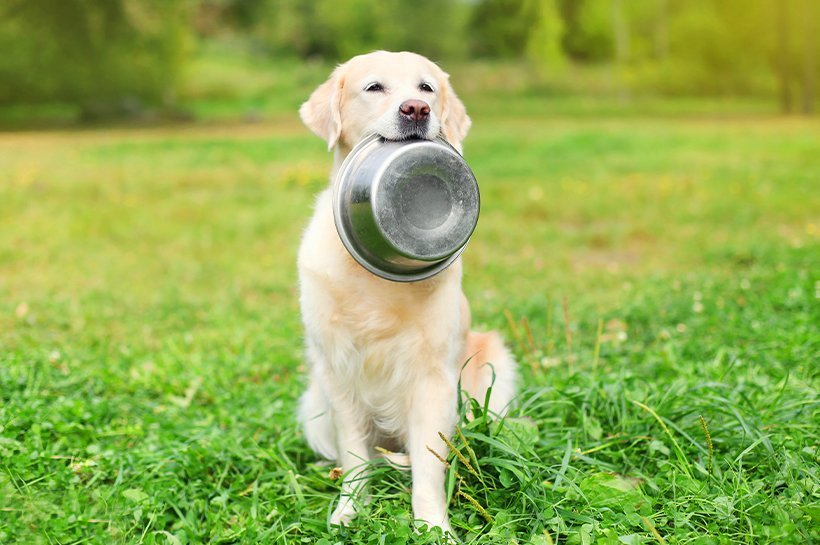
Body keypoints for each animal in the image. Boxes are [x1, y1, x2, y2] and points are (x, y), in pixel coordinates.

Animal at [294, 49, 516, 532]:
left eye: (426, 87)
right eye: (374, 87)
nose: (417, 109)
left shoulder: (433, 378)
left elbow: (430, 467)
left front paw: (434, 526)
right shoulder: (338, 371)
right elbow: (355, 456)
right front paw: (349, 509)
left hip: (494, 368)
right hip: (314, 403)